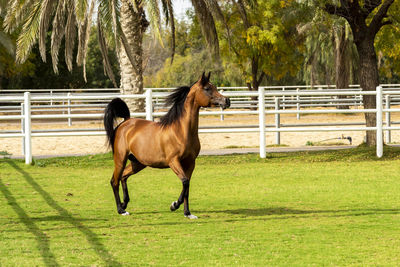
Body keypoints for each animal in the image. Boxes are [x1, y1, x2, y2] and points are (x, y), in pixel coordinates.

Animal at [103, 72, 231, 219]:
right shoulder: (173, 161)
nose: (227, 101)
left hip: (138, 163)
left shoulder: (190, 163)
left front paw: (187, 213)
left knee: (123, 176)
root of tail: (125, 123)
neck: (180, 131)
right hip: (120, 159)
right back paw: (121, 210)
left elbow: (187, 186)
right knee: (114, 181)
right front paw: (174, 205)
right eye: (207, 88)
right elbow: (185, 182)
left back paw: (125, 204)